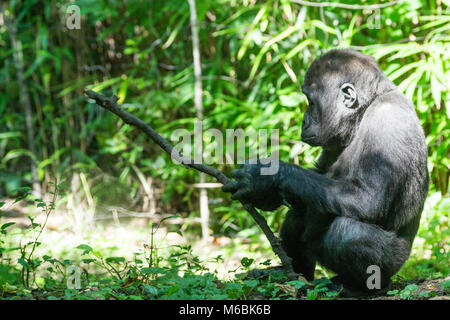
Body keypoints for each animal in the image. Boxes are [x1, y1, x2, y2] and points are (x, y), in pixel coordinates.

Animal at [223, 49, 430, 292]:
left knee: (349, 234)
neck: (363, 110)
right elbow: (314, 178)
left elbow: (370, 197)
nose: (304, 121)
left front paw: (265, 177)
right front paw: (266, 192)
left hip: (395, 263)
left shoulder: (388, 121)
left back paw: (357, 286)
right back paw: (294, 272)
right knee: (301, 208)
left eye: (311, 103)